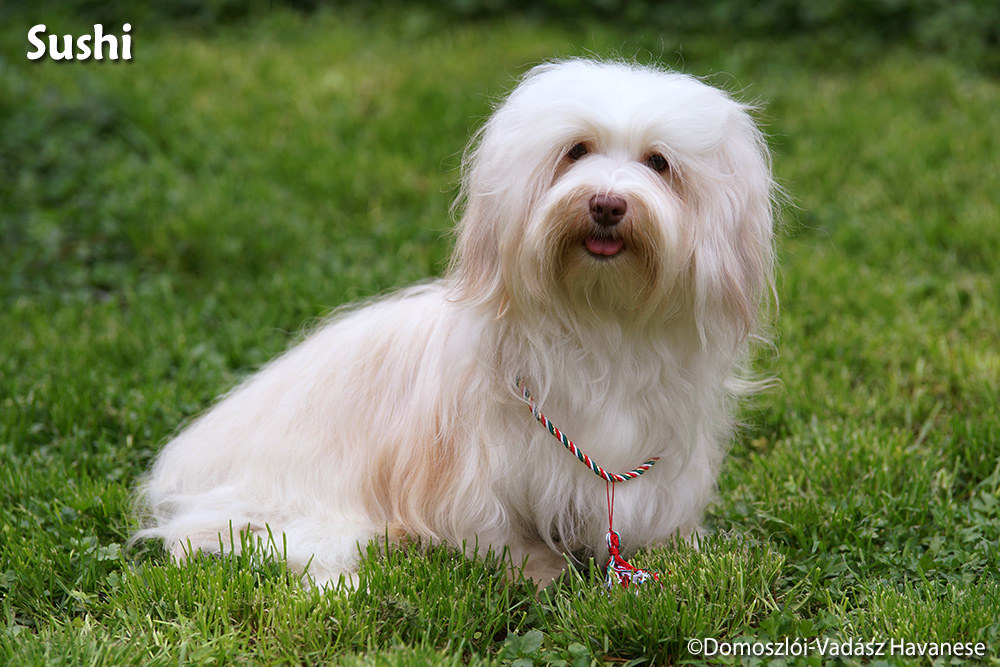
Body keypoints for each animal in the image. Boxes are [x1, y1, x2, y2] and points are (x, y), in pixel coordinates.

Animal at [135, 57, 772, 588]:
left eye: (659, 163)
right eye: (576, 150)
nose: (607, 204)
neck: (600, 322)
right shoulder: (477, 474)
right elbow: (499, 531)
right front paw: (539, 572)